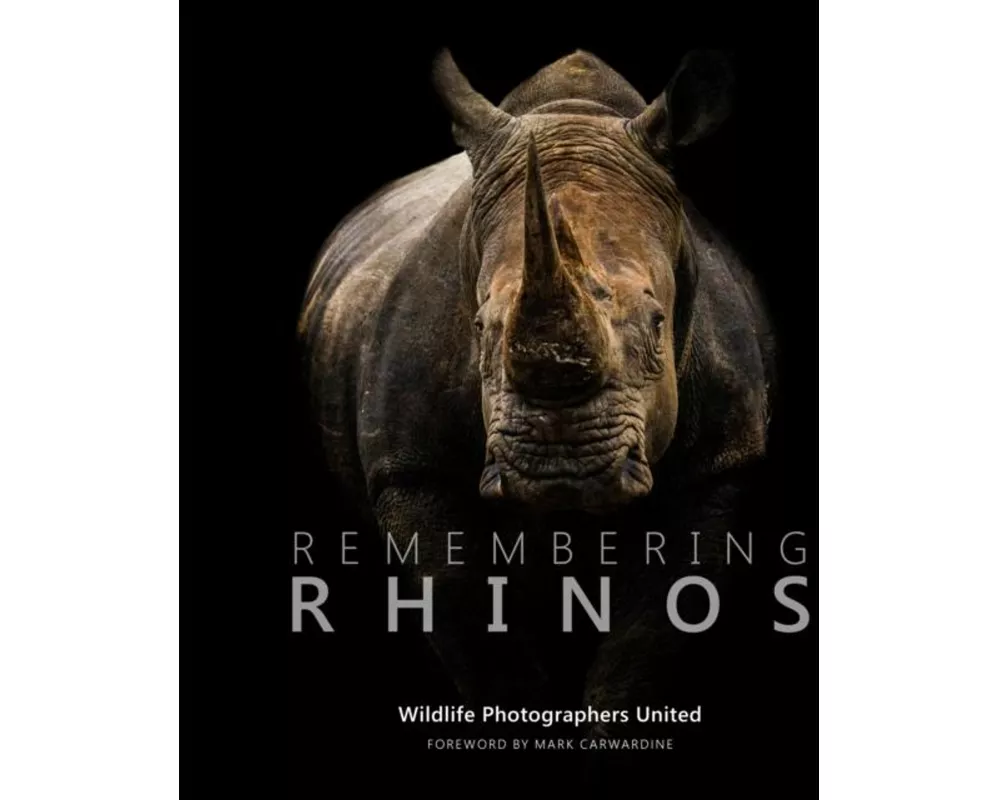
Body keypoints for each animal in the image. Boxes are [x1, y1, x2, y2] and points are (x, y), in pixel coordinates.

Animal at [297, 48, 776, 745]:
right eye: (478, 328)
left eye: (658, 323)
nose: (561, 470)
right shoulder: (415, 474)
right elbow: (487, 652)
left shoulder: (720, 469)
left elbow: (641, 650)